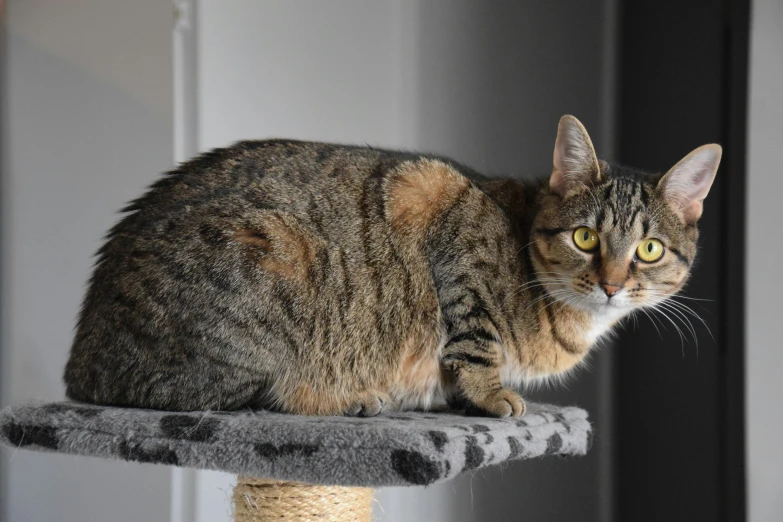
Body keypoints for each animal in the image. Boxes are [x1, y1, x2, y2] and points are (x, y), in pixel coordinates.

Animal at [64, 116, 720, 416]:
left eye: (649, 250)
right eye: (586, 237)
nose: (611, 284)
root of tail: (82, 361)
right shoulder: (441, 199)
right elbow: (476, 340)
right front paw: (490, 395)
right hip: (268, 267)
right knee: (247, 397)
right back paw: (351, 398)